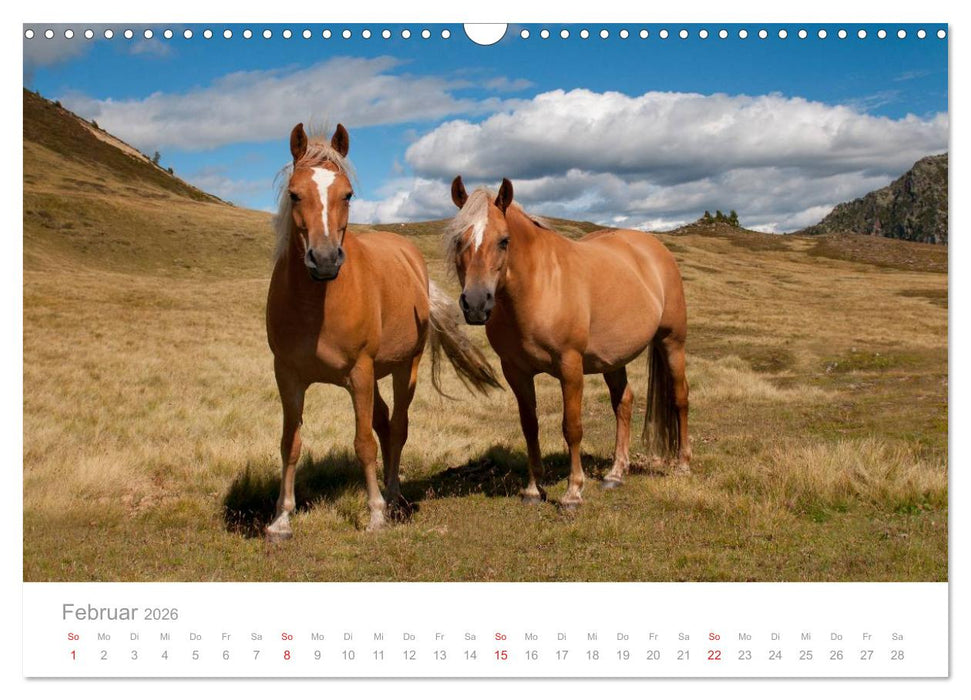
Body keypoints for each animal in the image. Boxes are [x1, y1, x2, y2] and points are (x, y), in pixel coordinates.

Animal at [264, 124, 500, 539]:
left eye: (347, 194)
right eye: (294, 194)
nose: (325, 260)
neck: (315, 307)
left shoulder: (359, 373)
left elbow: (364, 443)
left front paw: (374, 514)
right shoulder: (288, 376)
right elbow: (290, 444)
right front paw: (281, 518)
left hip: (405, 368)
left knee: (398, 426)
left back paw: (392, 495)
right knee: (385, 421)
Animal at [445, 176, 690, 509]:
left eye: (504, 240)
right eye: (459, 240)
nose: (475, 304)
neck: (539, 287)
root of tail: (655, 249)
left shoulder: (570, 366)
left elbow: (571, 427)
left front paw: (573, 492)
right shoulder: (516, 372)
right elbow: (529, 426)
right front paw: (533, 489)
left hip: (672, 342)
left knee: (680, 398)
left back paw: (683, 464)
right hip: (612, 359)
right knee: (623, 402)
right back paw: (616, 473)